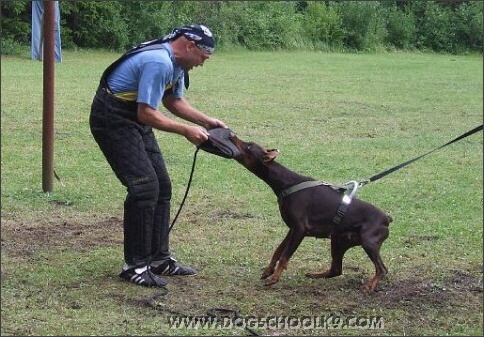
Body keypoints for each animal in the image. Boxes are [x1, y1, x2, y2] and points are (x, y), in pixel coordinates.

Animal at [229, 133, 392, 290]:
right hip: (339, 240)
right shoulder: (292, 229)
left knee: (382, 269)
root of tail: (387, 219)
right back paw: (315, 275)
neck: (286, 183)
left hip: (368, 242)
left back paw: (369, 286)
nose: (231, 135)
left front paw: (274, 278)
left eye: (249, 146)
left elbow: (285, 256)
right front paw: (268, 271)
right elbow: (278, 251)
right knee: (336, 269)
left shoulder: (300, 229)